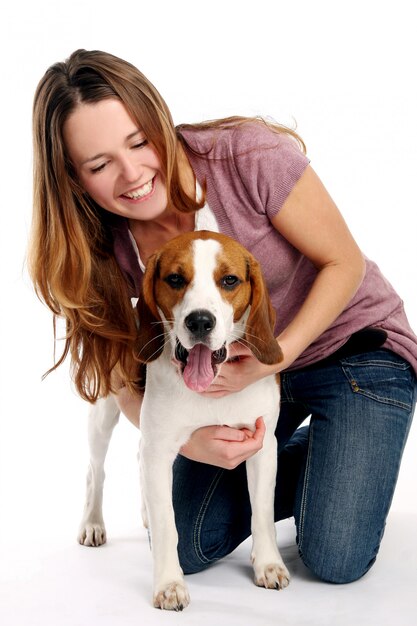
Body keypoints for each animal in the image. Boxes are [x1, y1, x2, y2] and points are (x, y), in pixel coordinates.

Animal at [76, 230, 288, 608]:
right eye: (175, 279)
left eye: (229, 280)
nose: (200, 321)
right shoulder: (160, 448)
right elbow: (167, 524)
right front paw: (169, 584)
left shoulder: (264, 445)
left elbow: (262, 512)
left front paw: (268, 565)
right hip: (104, 413)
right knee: (95, 470)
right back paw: (92, 523)